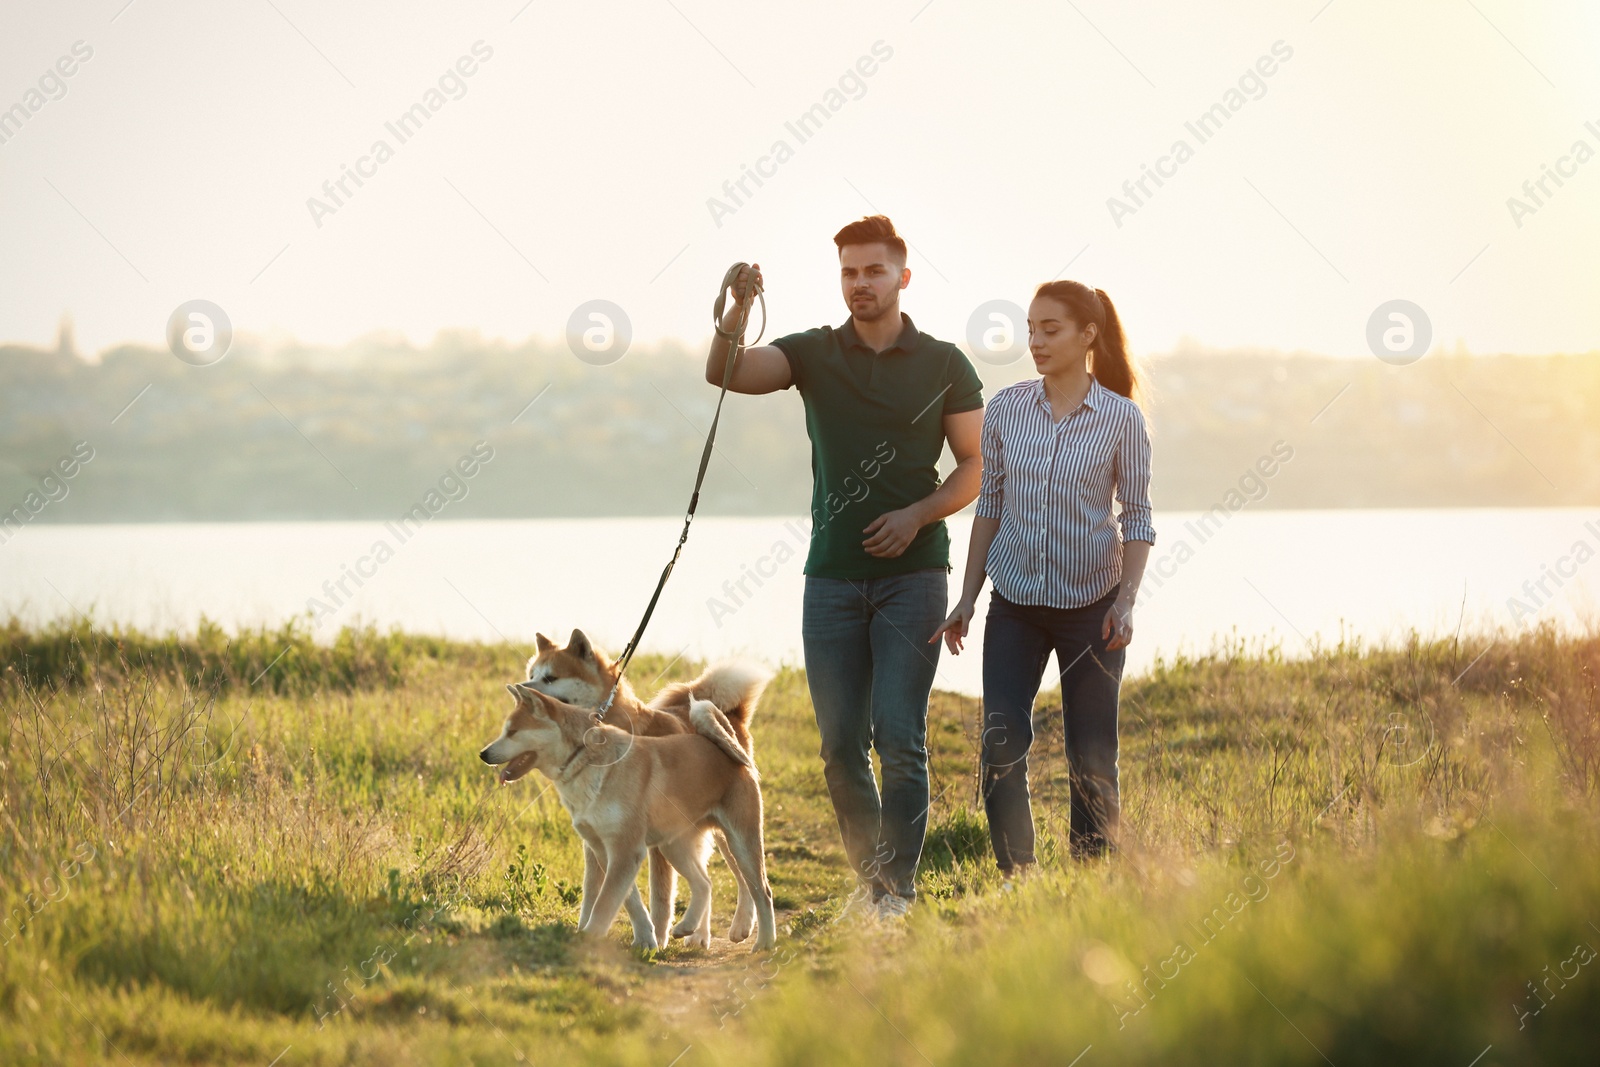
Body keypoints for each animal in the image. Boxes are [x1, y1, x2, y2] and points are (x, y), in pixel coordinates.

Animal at [473, 675, 774, 953]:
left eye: (512, 731)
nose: (483, 754)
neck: (584, 760)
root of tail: (729, 746)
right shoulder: (604, 850)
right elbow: (631, 903)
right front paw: (646, 941)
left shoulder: (626, 849)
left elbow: (605, 903)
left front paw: (588, 937)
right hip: (673, 846)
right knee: (705, 884)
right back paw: (687, 926)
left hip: (739, 842)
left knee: (762, 891)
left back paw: (765, 943)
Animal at [518, 630, 761, 947]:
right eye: (531, 674)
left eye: (550, 678)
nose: (521, 688)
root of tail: (732, 716)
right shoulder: (597, 841)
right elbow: (592, 892)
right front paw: (583, 929)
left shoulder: (651, 843)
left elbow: (660, 896)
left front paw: (656, 936)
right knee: (706, 876)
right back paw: (699, 934)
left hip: (726, 830)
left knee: (744, 877)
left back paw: (742, 922)